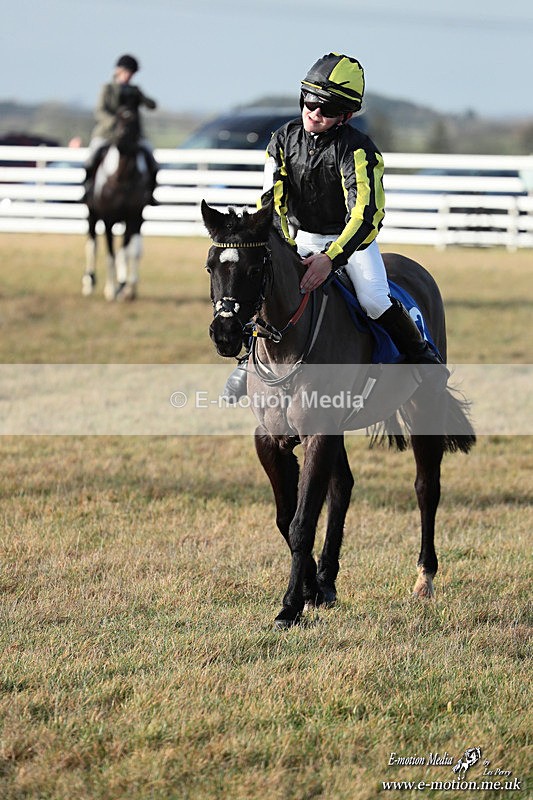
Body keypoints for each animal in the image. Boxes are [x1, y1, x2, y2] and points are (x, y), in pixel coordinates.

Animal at [82, 106, 152, 301]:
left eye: (135, 121)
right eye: (118, 120)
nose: (120, 140)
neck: (123, 177)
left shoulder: (134, 217)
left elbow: (130, 251)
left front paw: (127, 287)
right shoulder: (108, 220)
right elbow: (110, 254)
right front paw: (111, 289)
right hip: (92, 215)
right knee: (92, 245)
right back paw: (89, 282)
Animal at [201, 198, 476, 629]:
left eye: (253, 268)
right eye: (212, 266)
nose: (225, 334)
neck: (286, 346)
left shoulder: (320, 434)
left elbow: (302, 522)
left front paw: (291, 605)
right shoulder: (271, 439)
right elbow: (288, 517)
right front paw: (313, 589)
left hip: (422, 407)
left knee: (426, 488)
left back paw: (424, 578)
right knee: (343, 486)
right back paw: (328, 580)